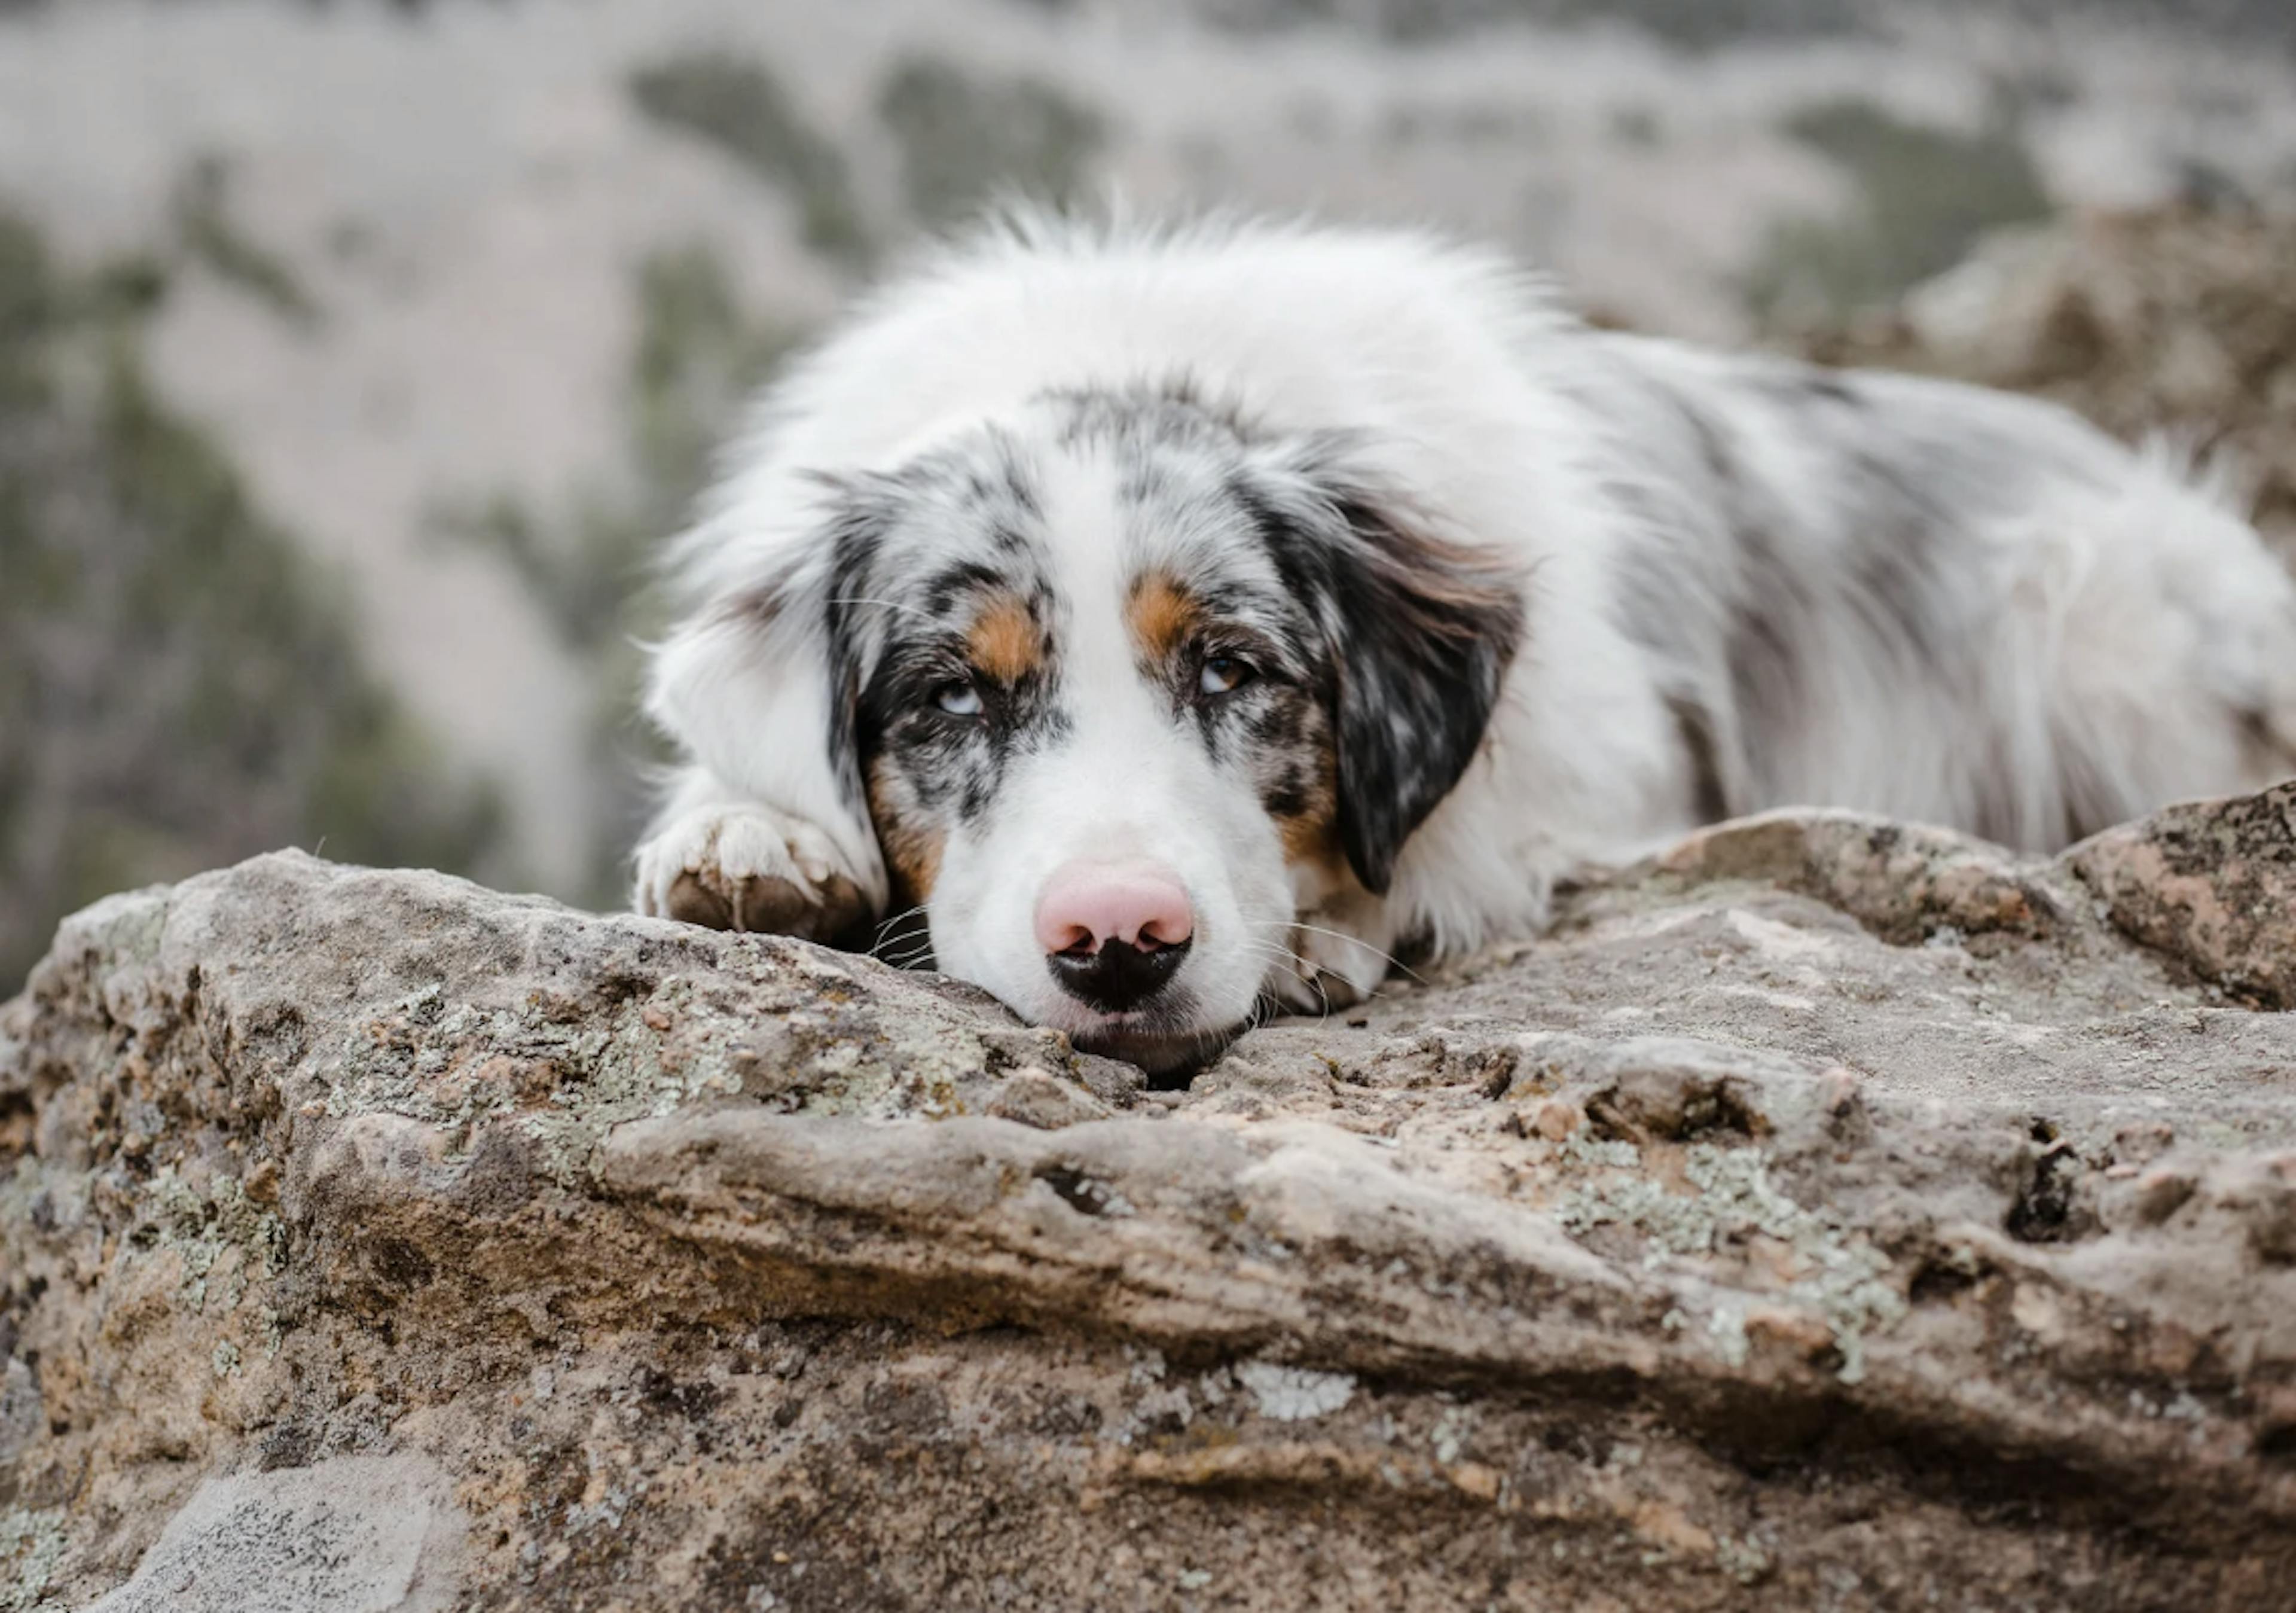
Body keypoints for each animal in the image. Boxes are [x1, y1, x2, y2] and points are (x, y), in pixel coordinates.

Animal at [629, 215, 2296, 1075]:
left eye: (1232, 671)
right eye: (952, 697)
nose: (1120, 945)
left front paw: (1326, 930)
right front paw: (746, 831)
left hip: (2105, 611)